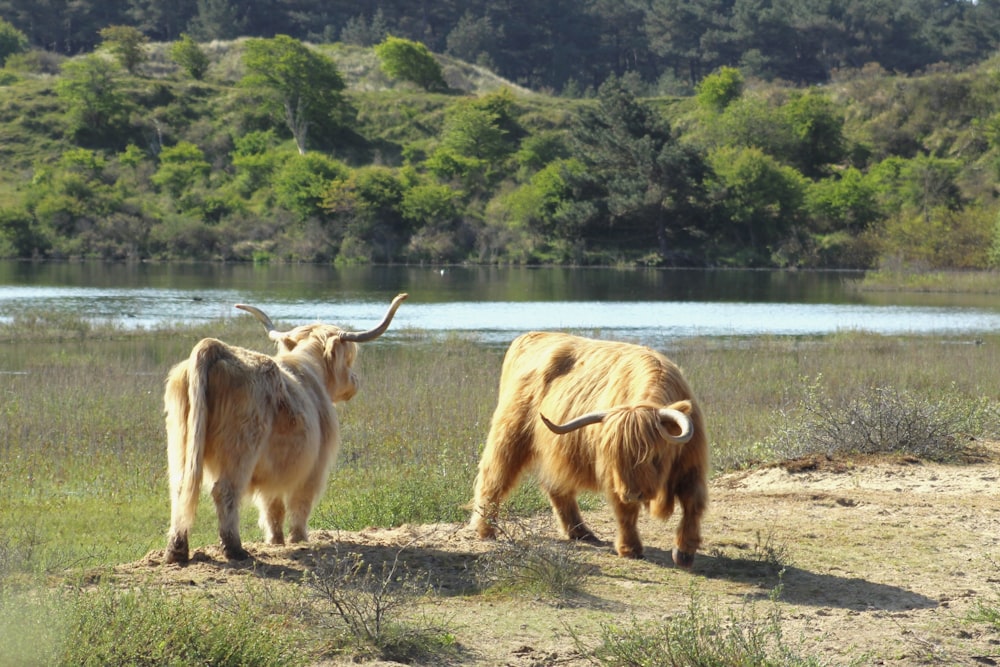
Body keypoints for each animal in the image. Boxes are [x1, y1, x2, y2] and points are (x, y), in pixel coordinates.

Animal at [164, 294, 406, 560]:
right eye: (349, 358)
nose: (355, 381)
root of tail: (215, 347)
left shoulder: (274, 470)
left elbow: (273, 506)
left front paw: (275, 540)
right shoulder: (315, 465)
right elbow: (299, 503)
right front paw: (298, 538)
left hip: (181, 442)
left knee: (180, 488)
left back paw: (177, 550)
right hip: (240, 447)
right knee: (225, 490)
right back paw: (234, 549)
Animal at [472, 332, 708, 568]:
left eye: (654, 456)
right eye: (616, 458)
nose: (632, 494)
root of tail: (530, 336)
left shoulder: (691, 466)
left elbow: (693, 503)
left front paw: (684, 552)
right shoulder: (614, 478)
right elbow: (625, 512)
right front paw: (630, 549)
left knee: (556, 487)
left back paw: (581, 532)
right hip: (509, 435)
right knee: (494, 478)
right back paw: (485, 529)